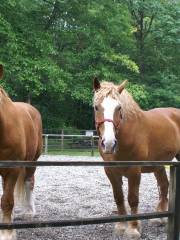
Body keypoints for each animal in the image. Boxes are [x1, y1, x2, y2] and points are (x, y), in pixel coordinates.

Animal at [93, 78, 180, 239]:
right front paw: (121, 226)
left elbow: (133, 199)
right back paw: (159, 217)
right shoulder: (110, 171)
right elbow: (119, 197)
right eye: (96, 107)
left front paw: (133, 229)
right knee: (164, 185)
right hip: (158, 164)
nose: (109, 143)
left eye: (119, 108)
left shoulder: (134, 170)